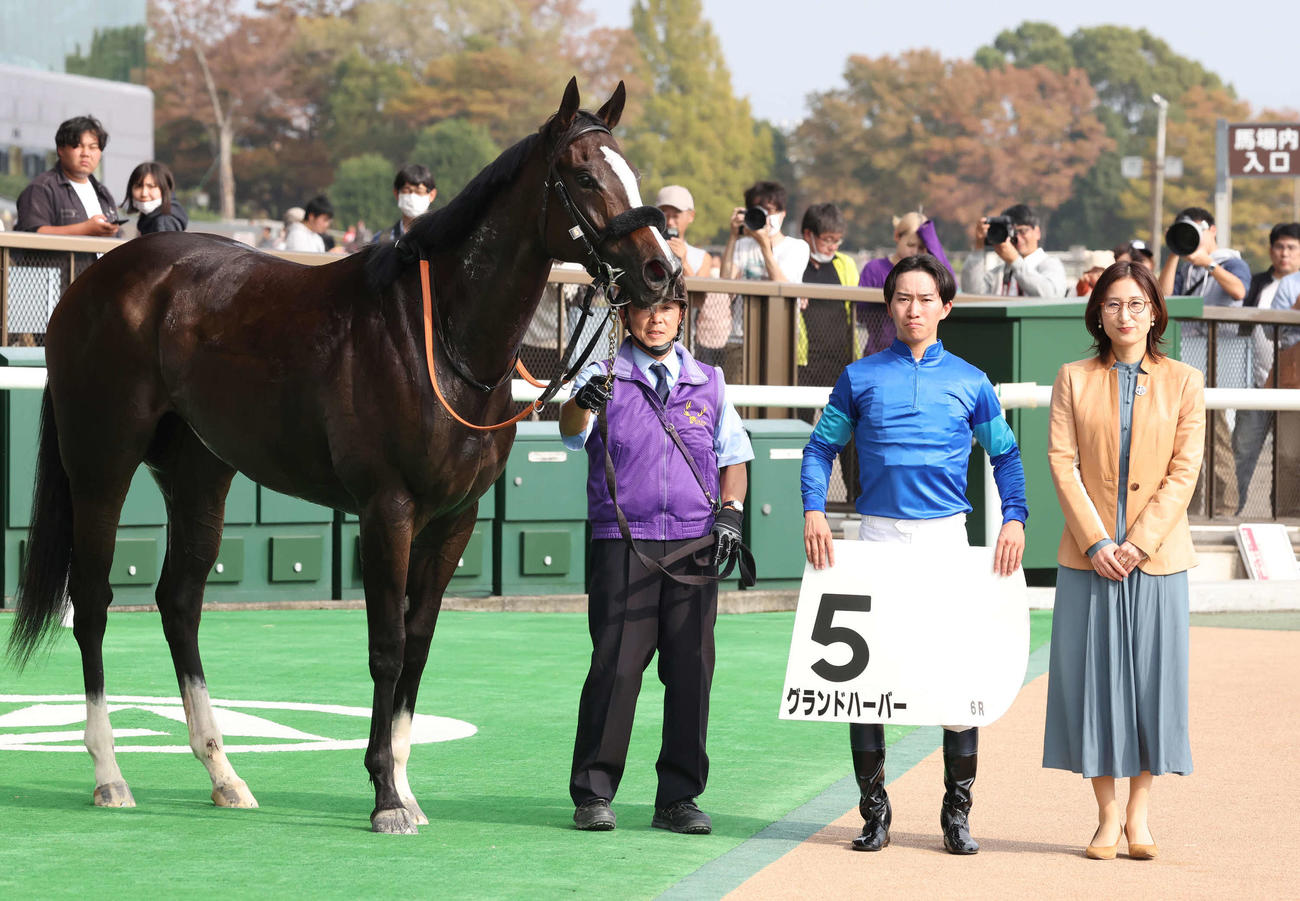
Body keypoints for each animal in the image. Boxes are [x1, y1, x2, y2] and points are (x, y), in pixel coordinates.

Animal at [5, 78, 681, 834]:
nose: (661, 271)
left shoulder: (455, 520)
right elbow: (387, 647)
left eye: (632, 173)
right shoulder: (387, 509)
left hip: (200, 472)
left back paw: (224, 772)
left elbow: (418, 644)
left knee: (179, 601)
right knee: (93, 601)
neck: (437, 336)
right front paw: (385, 795)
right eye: (585, 176)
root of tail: (92, 286)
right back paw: (110, 772)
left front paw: (406, 788)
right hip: (101, 462)